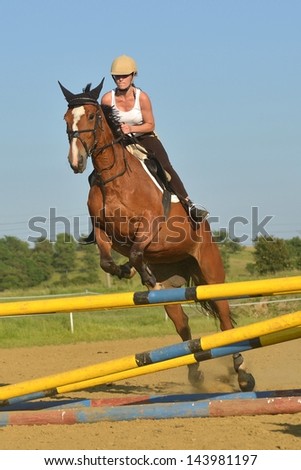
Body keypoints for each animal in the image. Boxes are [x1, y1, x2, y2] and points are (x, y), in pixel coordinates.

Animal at [59, 78, 255, 392]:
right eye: (67, 119)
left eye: (91, 116)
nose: (76, 162)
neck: (114, 177)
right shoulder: (102, 230)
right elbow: (106, 260)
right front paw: (126, 271)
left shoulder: (150, 223)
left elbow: (138, 250)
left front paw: (135, 272)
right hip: (172, 280)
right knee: (182, 323)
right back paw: (195, 374)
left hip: (210, 272)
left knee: (225, 318)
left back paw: (243, 374)